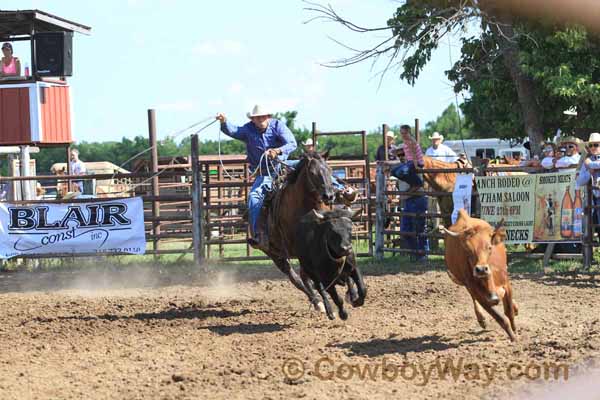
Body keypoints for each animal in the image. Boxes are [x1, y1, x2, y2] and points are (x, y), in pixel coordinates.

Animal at [262, 152, 368, 310]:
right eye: (312, 173)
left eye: (330, 170)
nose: (329, 196)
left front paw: (352, 294)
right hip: (275, 254)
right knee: (297, 277)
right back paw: (318, 302)